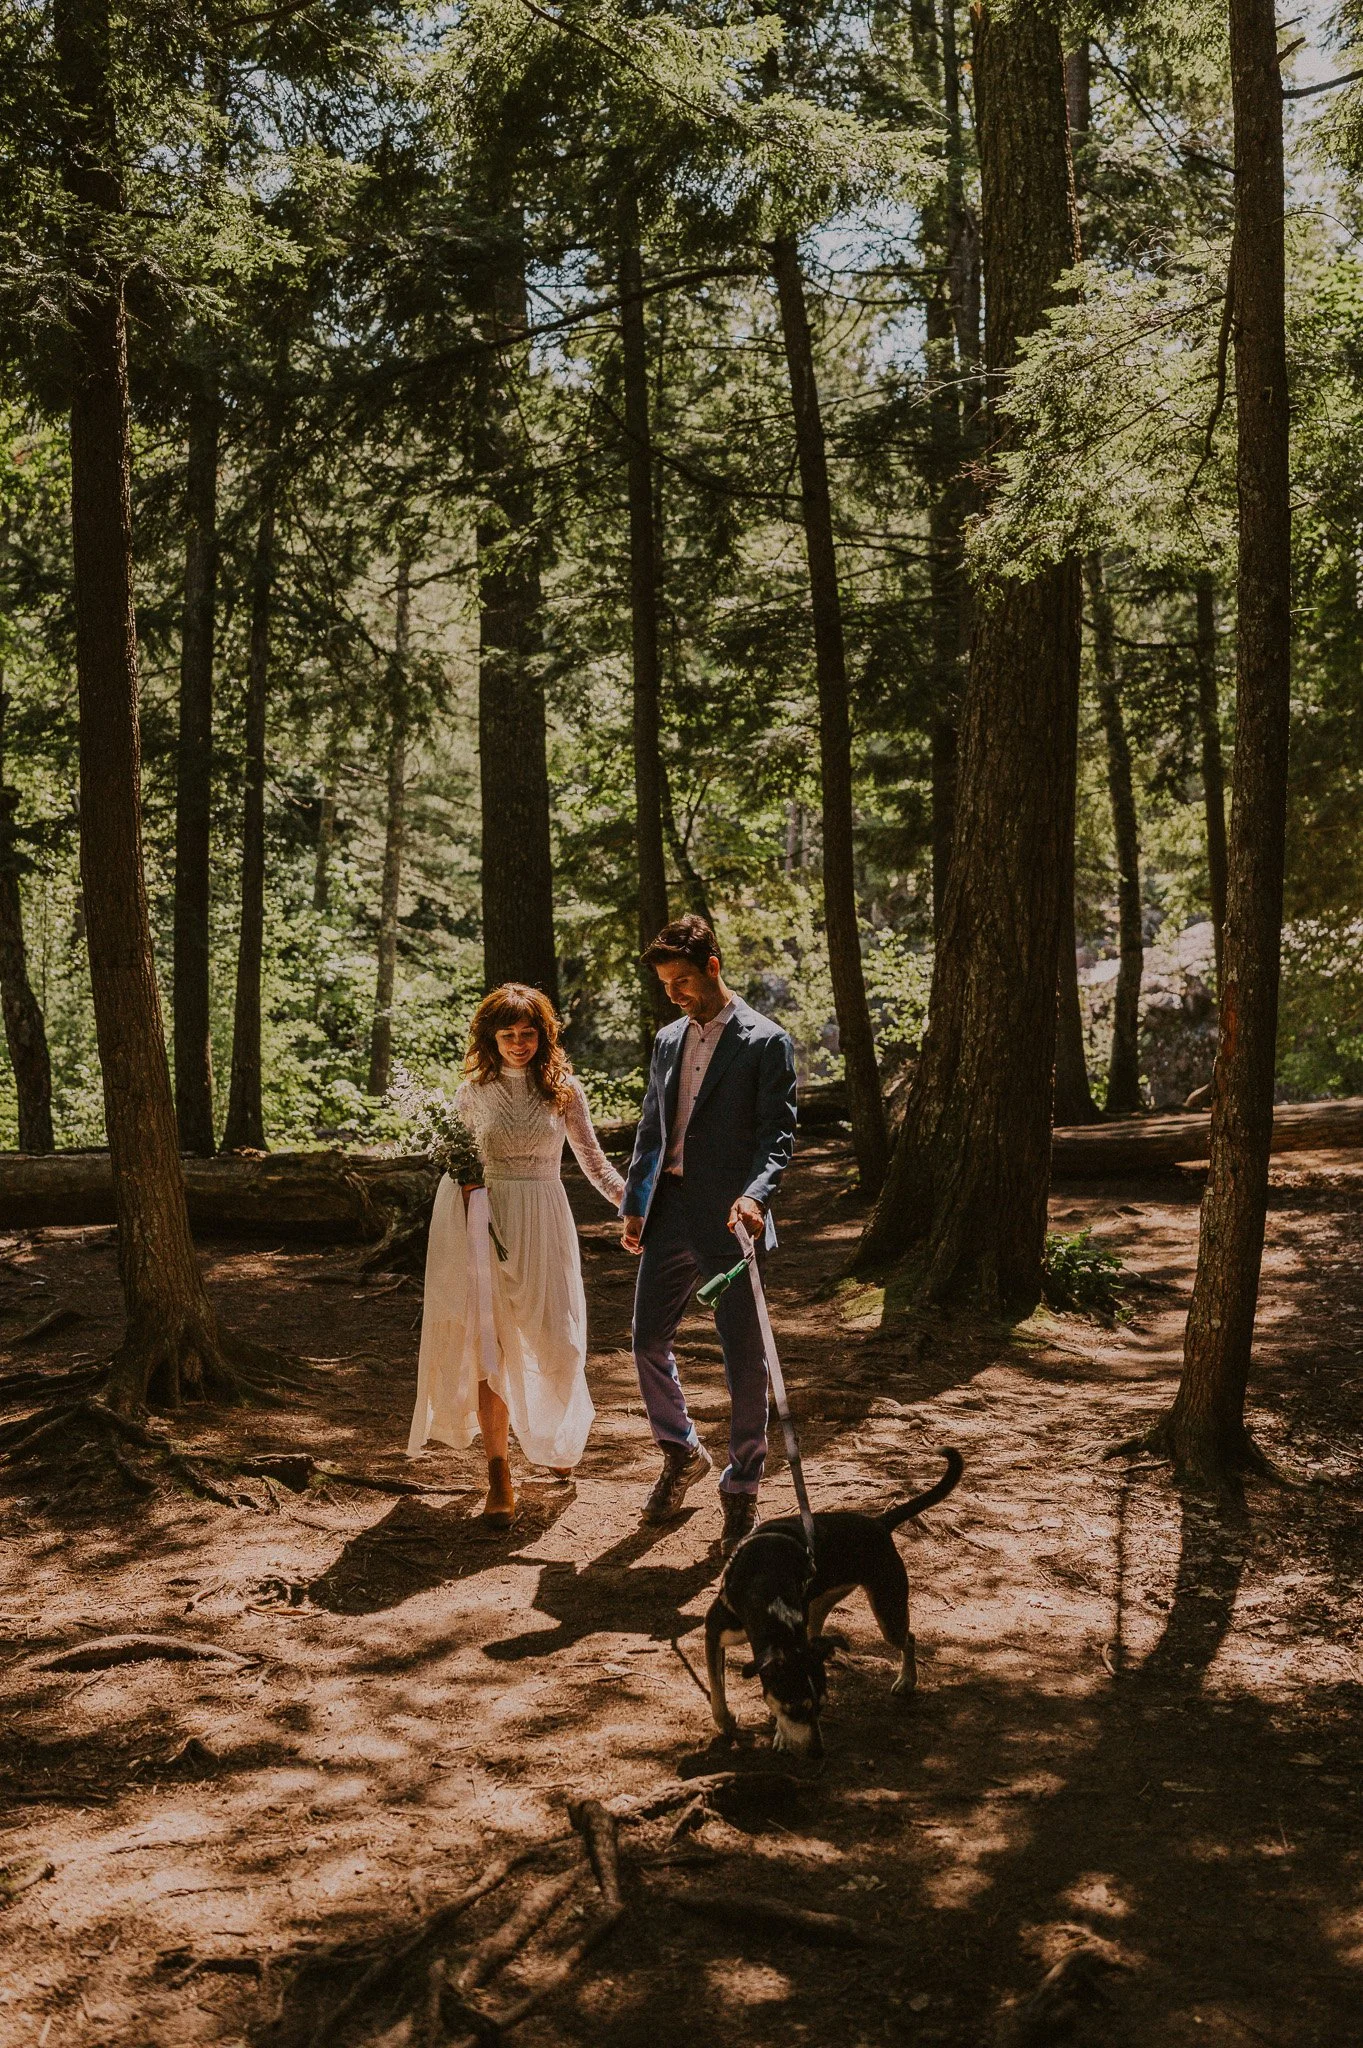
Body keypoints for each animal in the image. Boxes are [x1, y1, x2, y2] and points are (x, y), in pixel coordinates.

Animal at [704, 1441, 961, 1761]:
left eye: (822, 1706)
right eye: (796, 1709)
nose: (818, 1753)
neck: (766, 1588)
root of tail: (879, 1523)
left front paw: (779, 1734)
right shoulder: (713, 1633)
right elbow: (717, 1687)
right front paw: (726, 1721)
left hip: (887, 1609)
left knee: (908, 1638)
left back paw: (906, 1681)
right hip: (822, 1603)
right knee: (819, 1630)